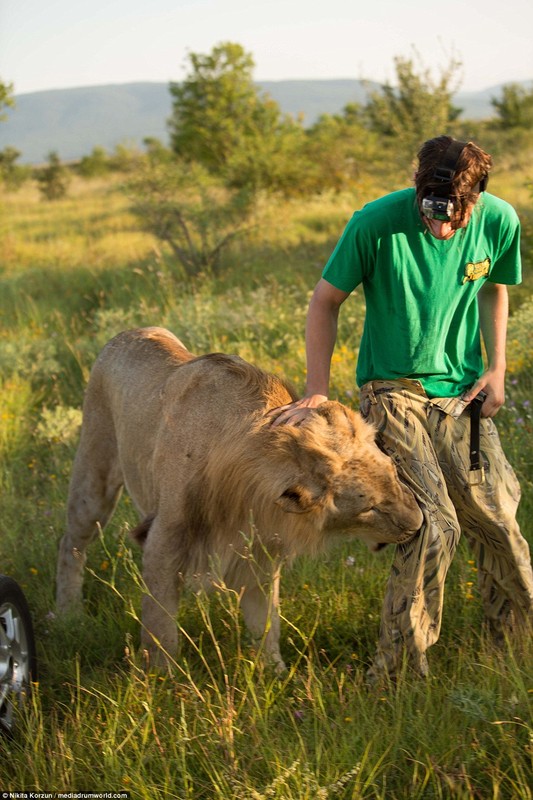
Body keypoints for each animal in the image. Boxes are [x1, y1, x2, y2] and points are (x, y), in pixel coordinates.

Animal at [56, 324, 422, 668]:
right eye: (369, 507)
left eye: (394, 472)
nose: (418, 523)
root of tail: (128, 332)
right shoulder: (163, 541)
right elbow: (159, 627)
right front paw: (161, 679)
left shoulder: (259, 548)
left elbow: (266, 621)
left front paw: (274, 672)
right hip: (95, 476)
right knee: (70, 542)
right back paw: (68, 615)